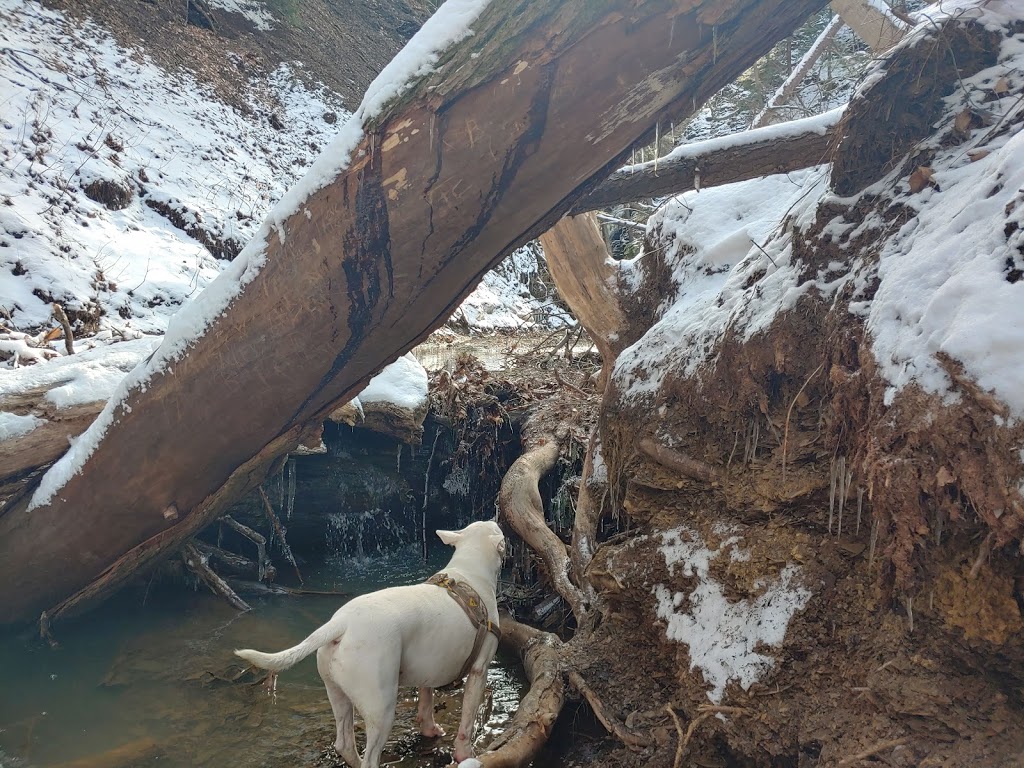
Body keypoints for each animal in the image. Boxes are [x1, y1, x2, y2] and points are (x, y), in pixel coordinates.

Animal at [233, 520, 503, 768]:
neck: (469, 570)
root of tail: (342, 623)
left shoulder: (429, 667)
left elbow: (426, 702)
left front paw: (430, 730)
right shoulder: (479, 671)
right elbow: (467, 719)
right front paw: (465, 754)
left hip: (337, 692)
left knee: (344, 742)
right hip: (381, 706)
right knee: (370, 756)